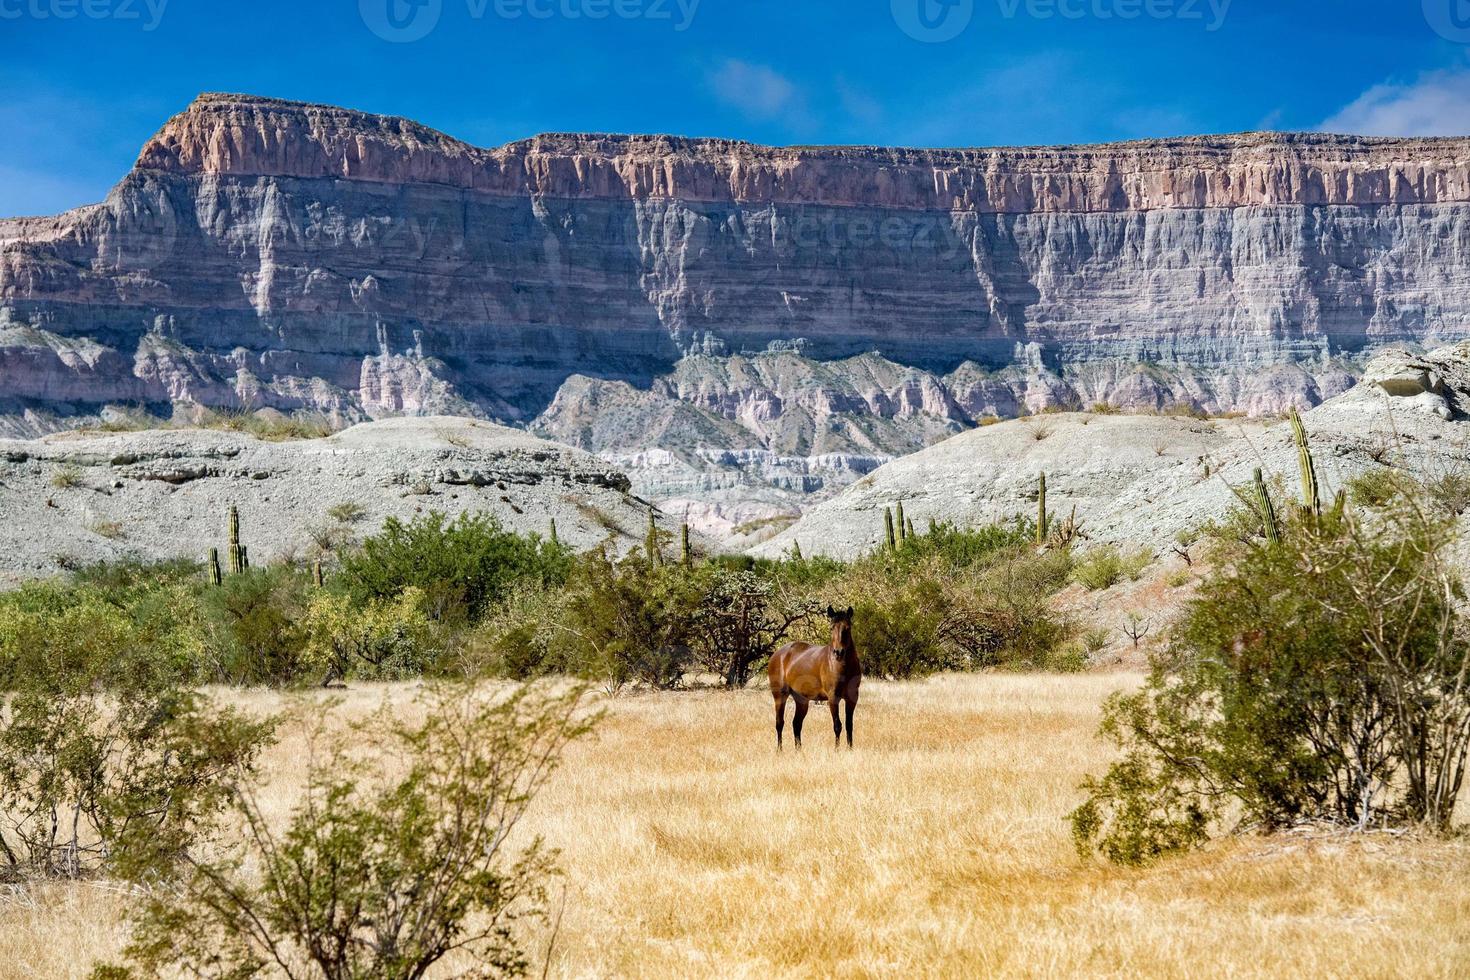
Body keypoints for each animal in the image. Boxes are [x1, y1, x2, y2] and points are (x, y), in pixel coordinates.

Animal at [770, 605, 858, 752]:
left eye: (848, 627)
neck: (843, 666)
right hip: (780, 696)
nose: (838, 652)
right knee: (779, 723)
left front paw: (850, 750)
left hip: (801, 700)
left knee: (796, 724)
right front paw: (837, 750)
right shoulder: (833, 698)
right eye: (831, 627)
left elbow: (849, 725)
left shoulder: (852, 698)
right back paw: (779, 750)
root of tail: (777, 654)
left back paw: (798, 751)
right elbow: (837, 725)